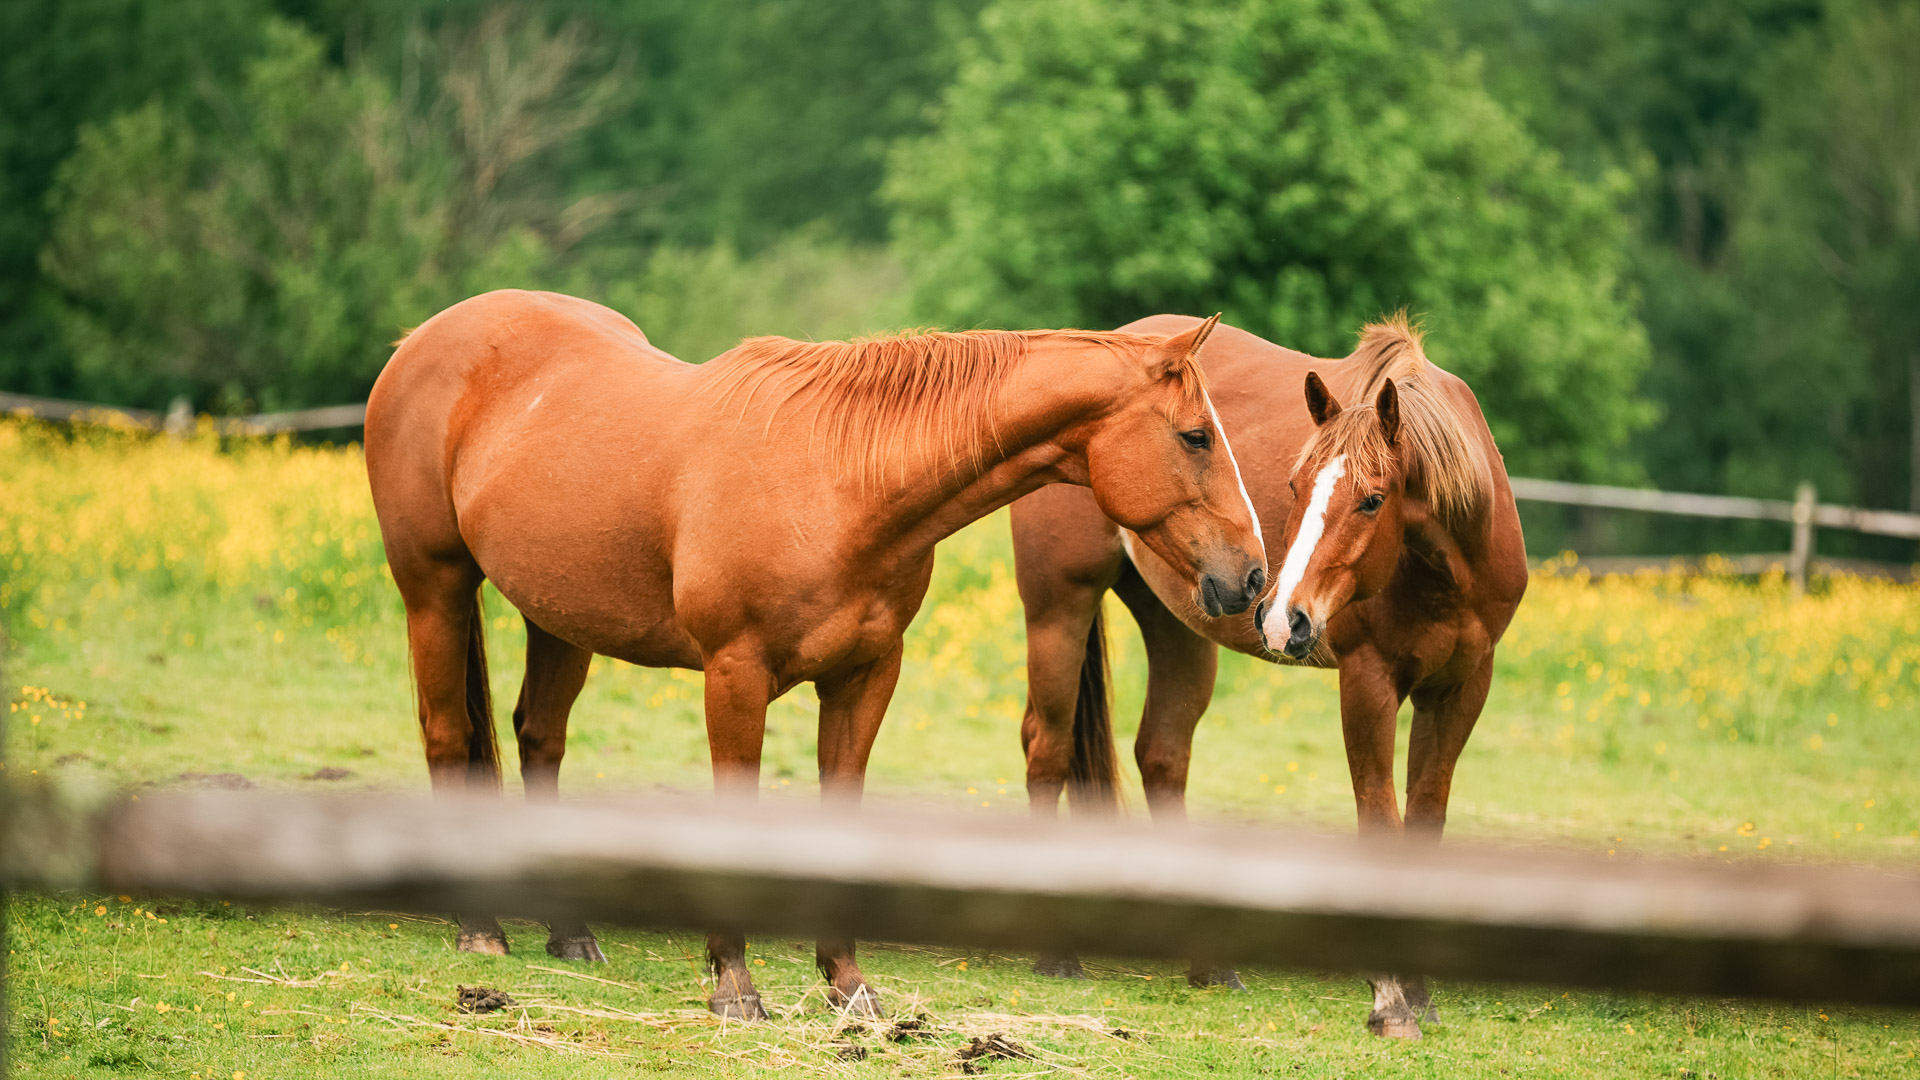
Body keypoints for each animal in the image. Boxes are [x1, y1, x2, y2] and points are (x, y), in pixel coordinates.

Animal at [364, 290, 1267, 1019]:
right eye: (1195, 437)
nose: (1252, 576)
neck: (839, 481)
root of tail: (421, 339)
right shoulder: (735, 676)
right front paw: (735, 987)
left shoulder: (864, 677)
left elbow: (841, 809)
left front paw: (848, 985)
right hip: (435, 588)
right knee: (447, 733)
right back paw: (481, 930)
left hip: (557, 619)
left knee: (539, 739)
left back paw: (571, 934)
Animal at [1009, 314, 1527, 1039]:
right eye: (1294, 486)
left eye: (1373, 501)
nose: (1284, 617)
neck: (1442, 571)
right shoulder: (1368, 683)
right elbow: (1380, 819)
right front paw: (1390, 999)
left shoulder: (1461, 689)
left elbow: (1426, 822)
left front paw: (1419, 991)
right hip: (1060, 609)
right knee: (1047, 747)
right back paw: (1057, 955)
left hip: (1180, 623)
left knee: (1162, 755)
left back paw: (1209, 965)